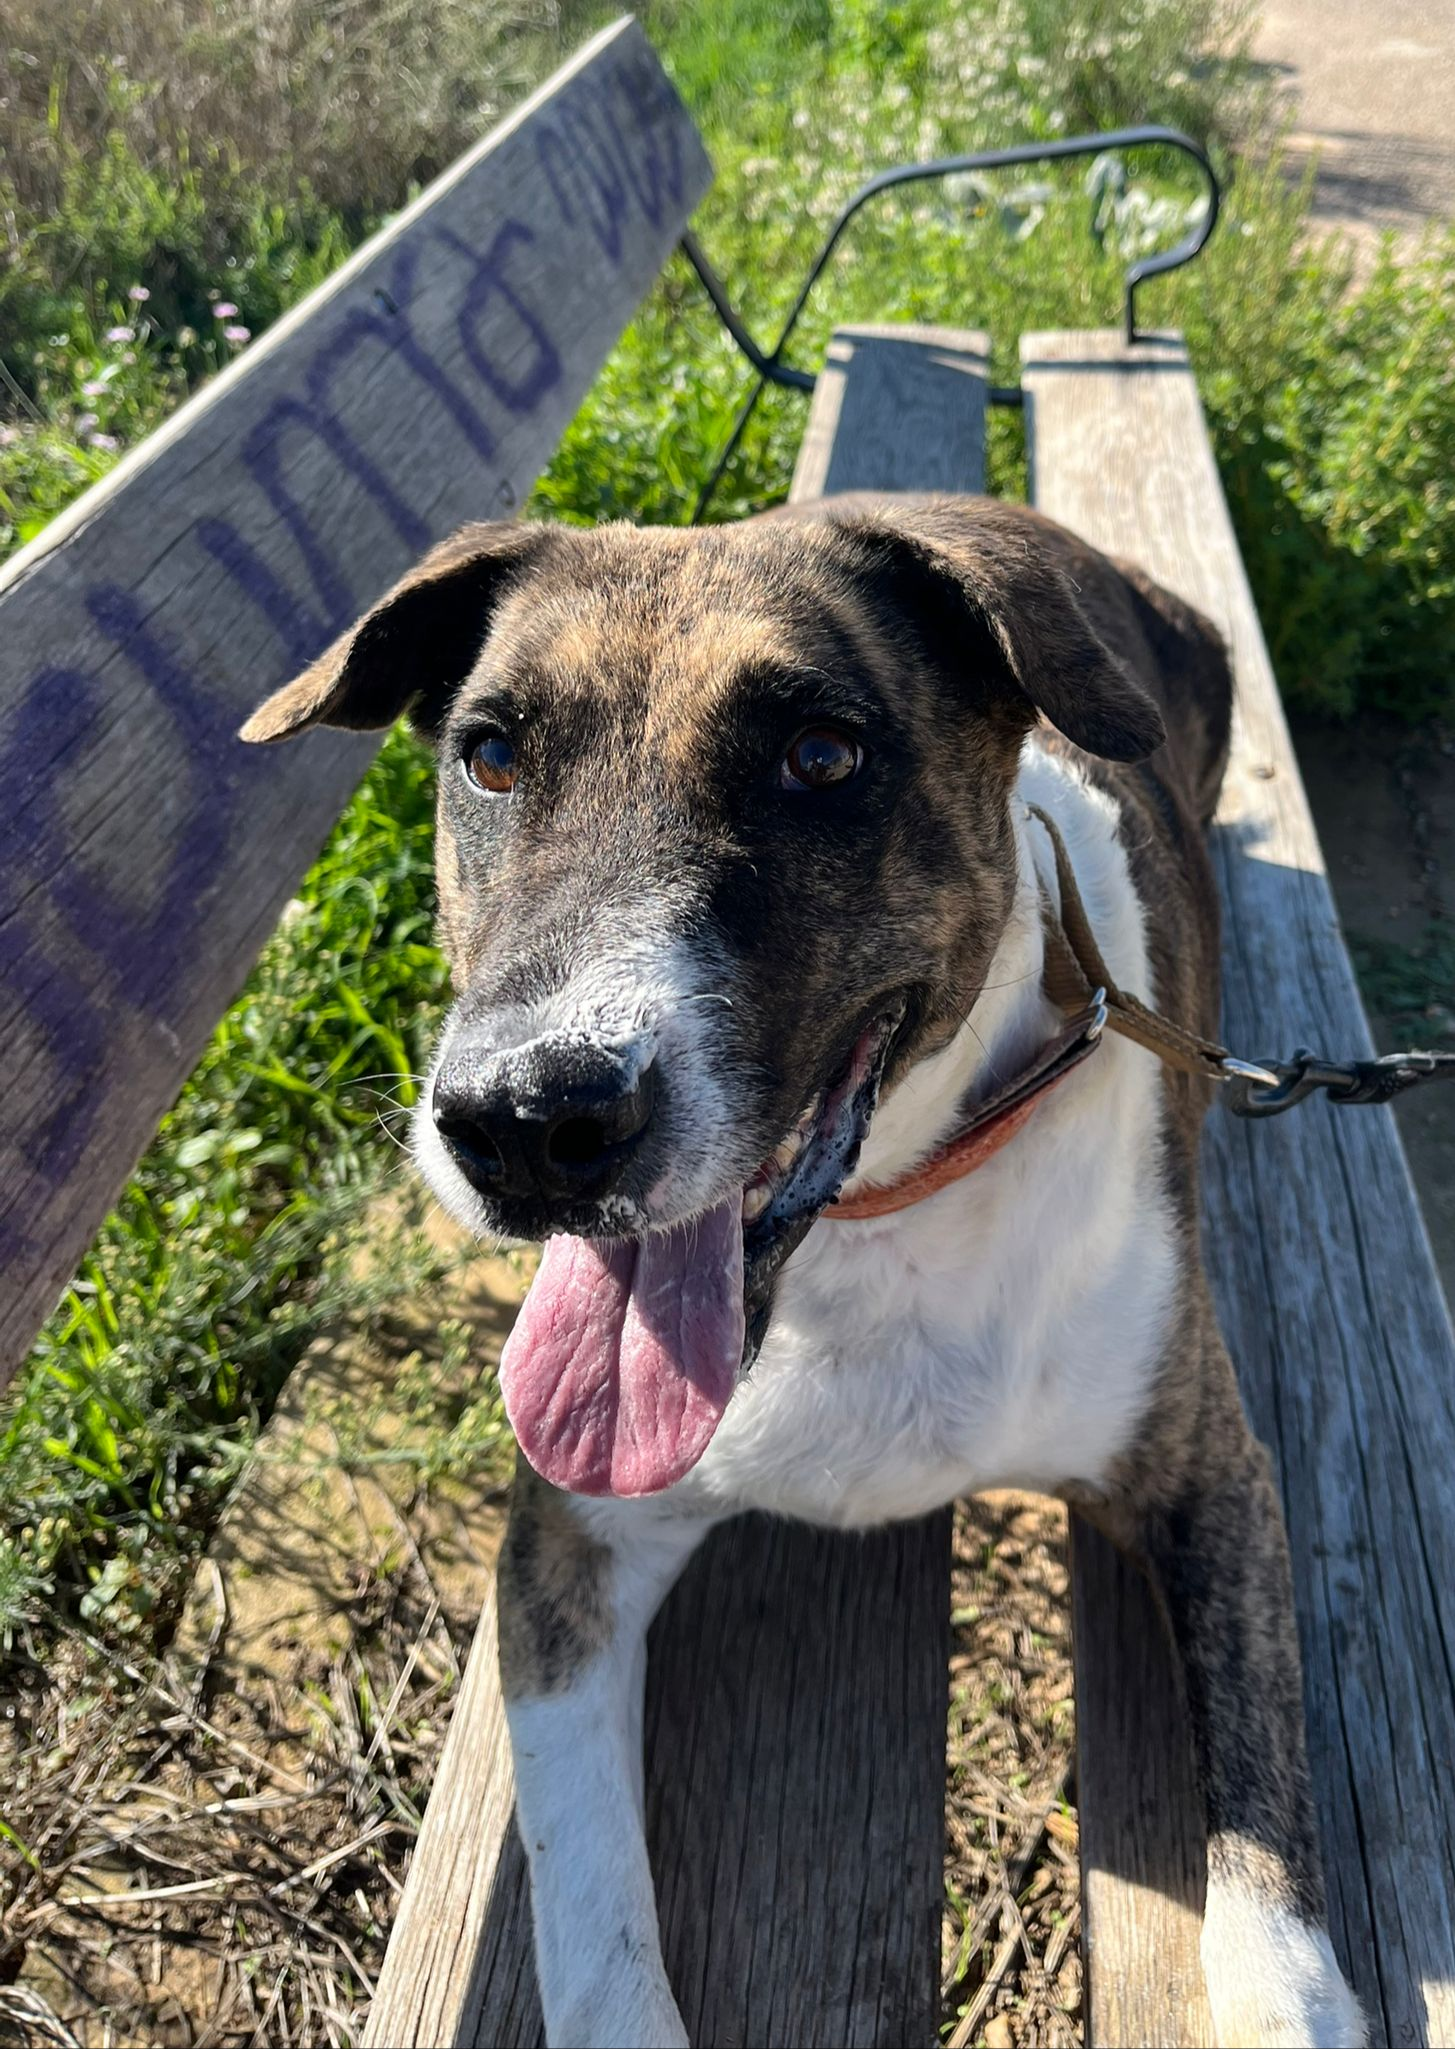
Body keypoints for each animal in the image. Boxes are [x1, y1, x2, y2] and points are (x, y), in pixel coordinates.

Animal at [244, 493, 1365, 2049]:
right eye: (489, 755)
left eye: (820, 757)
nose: (525, 1123)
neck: (878, 1218)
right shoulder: (567, 1544)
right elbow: (590, 1904)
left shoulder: (1208, 1477)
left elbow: (1264, 1849)